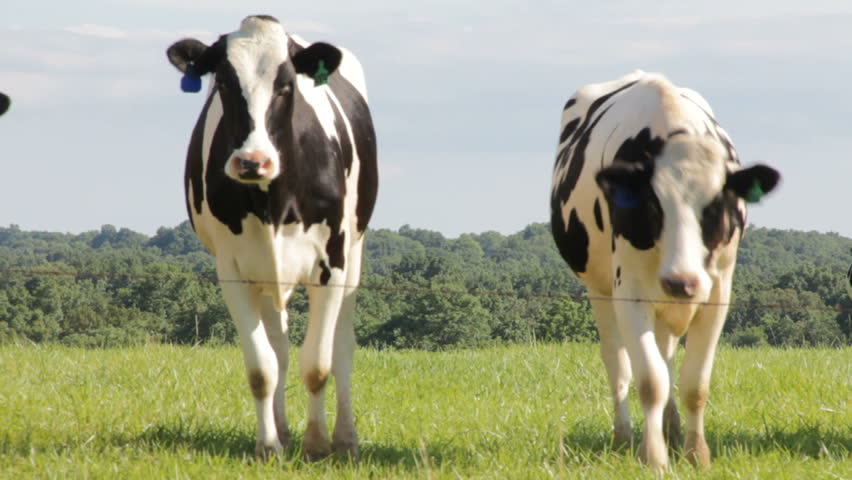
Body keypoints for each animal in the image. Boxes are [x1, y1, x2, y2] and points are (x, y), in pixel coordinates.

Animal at [166, 15, 377, 460]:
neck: (273, 200)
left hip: (355, 252)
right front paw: (269, 445)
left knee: (342, 347)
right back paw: (281, 428)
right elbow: (262, 367)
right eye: (224, 83)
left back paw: (345, 438)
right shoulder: (232, 268)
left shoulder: (332, 263)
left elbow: (318, 363)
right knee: (278, 347)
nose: (252, 161)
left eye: (286, 86)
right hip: (265, 269)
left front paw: (317, 444)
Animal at [550, 71, 779, 471]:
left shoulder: (718, 291)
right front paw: (653, 457)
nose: (681, 280)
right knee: (618, 364)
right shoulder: (629, 292)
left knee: (667, 352)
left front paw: (696, 453)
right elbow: (649, 379)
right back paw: (625, 437)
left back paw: (671, 429)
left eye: (716, 206)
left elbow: (694, 382)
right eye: (652, 206)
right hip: (600, 290)